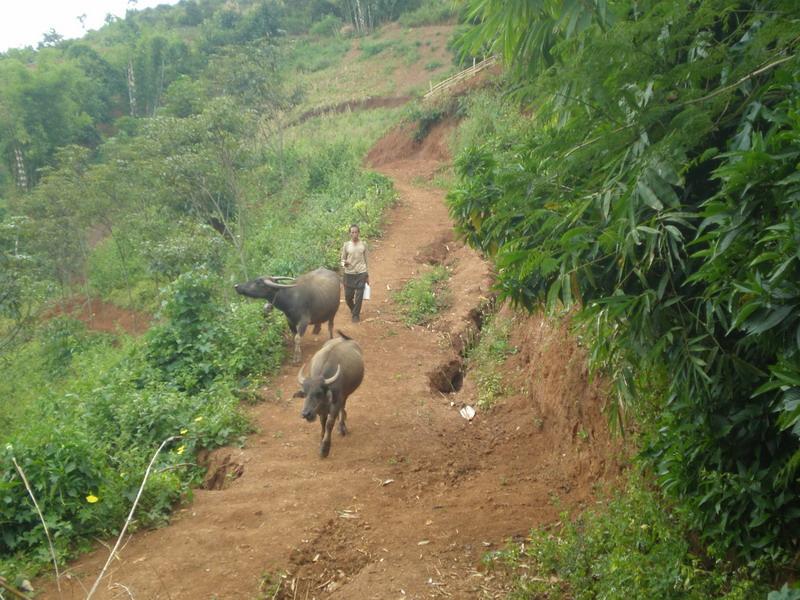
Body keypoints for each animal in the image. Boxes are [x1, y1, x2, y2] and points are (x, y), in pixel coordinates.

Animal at [294, 330, 366, 458]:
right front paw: (322, 438)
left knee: (343, 407)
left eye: (318, 393)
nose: (306, 414)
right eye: (305, 393)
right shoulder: (321, 409)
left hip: (345, 394)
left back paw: (342, 427)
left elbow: (329, 423)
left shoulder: (336, 403)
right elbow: (322, 422)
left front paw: (325, 448)